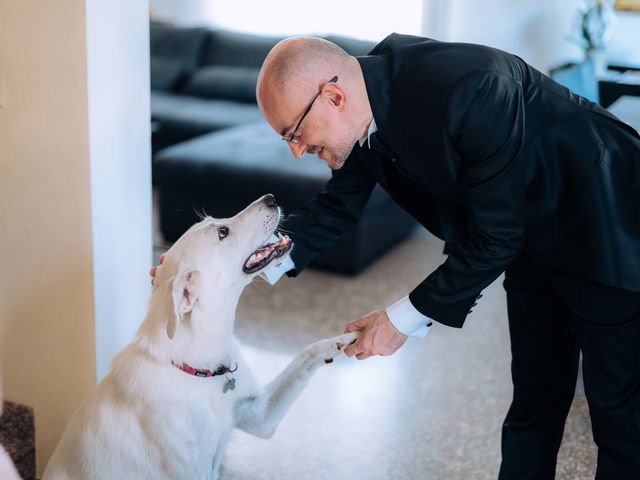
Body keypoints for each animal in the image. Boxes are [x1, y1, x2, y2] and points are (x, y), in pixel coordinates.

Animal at [43, 193, 356, 478]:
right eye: (222, 232)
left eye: (217, 222)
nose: (270, 197)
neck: (202, 371)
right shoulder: (194, 470)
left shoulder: (260, 415)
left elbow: (307, 354)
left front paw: (345, 340)